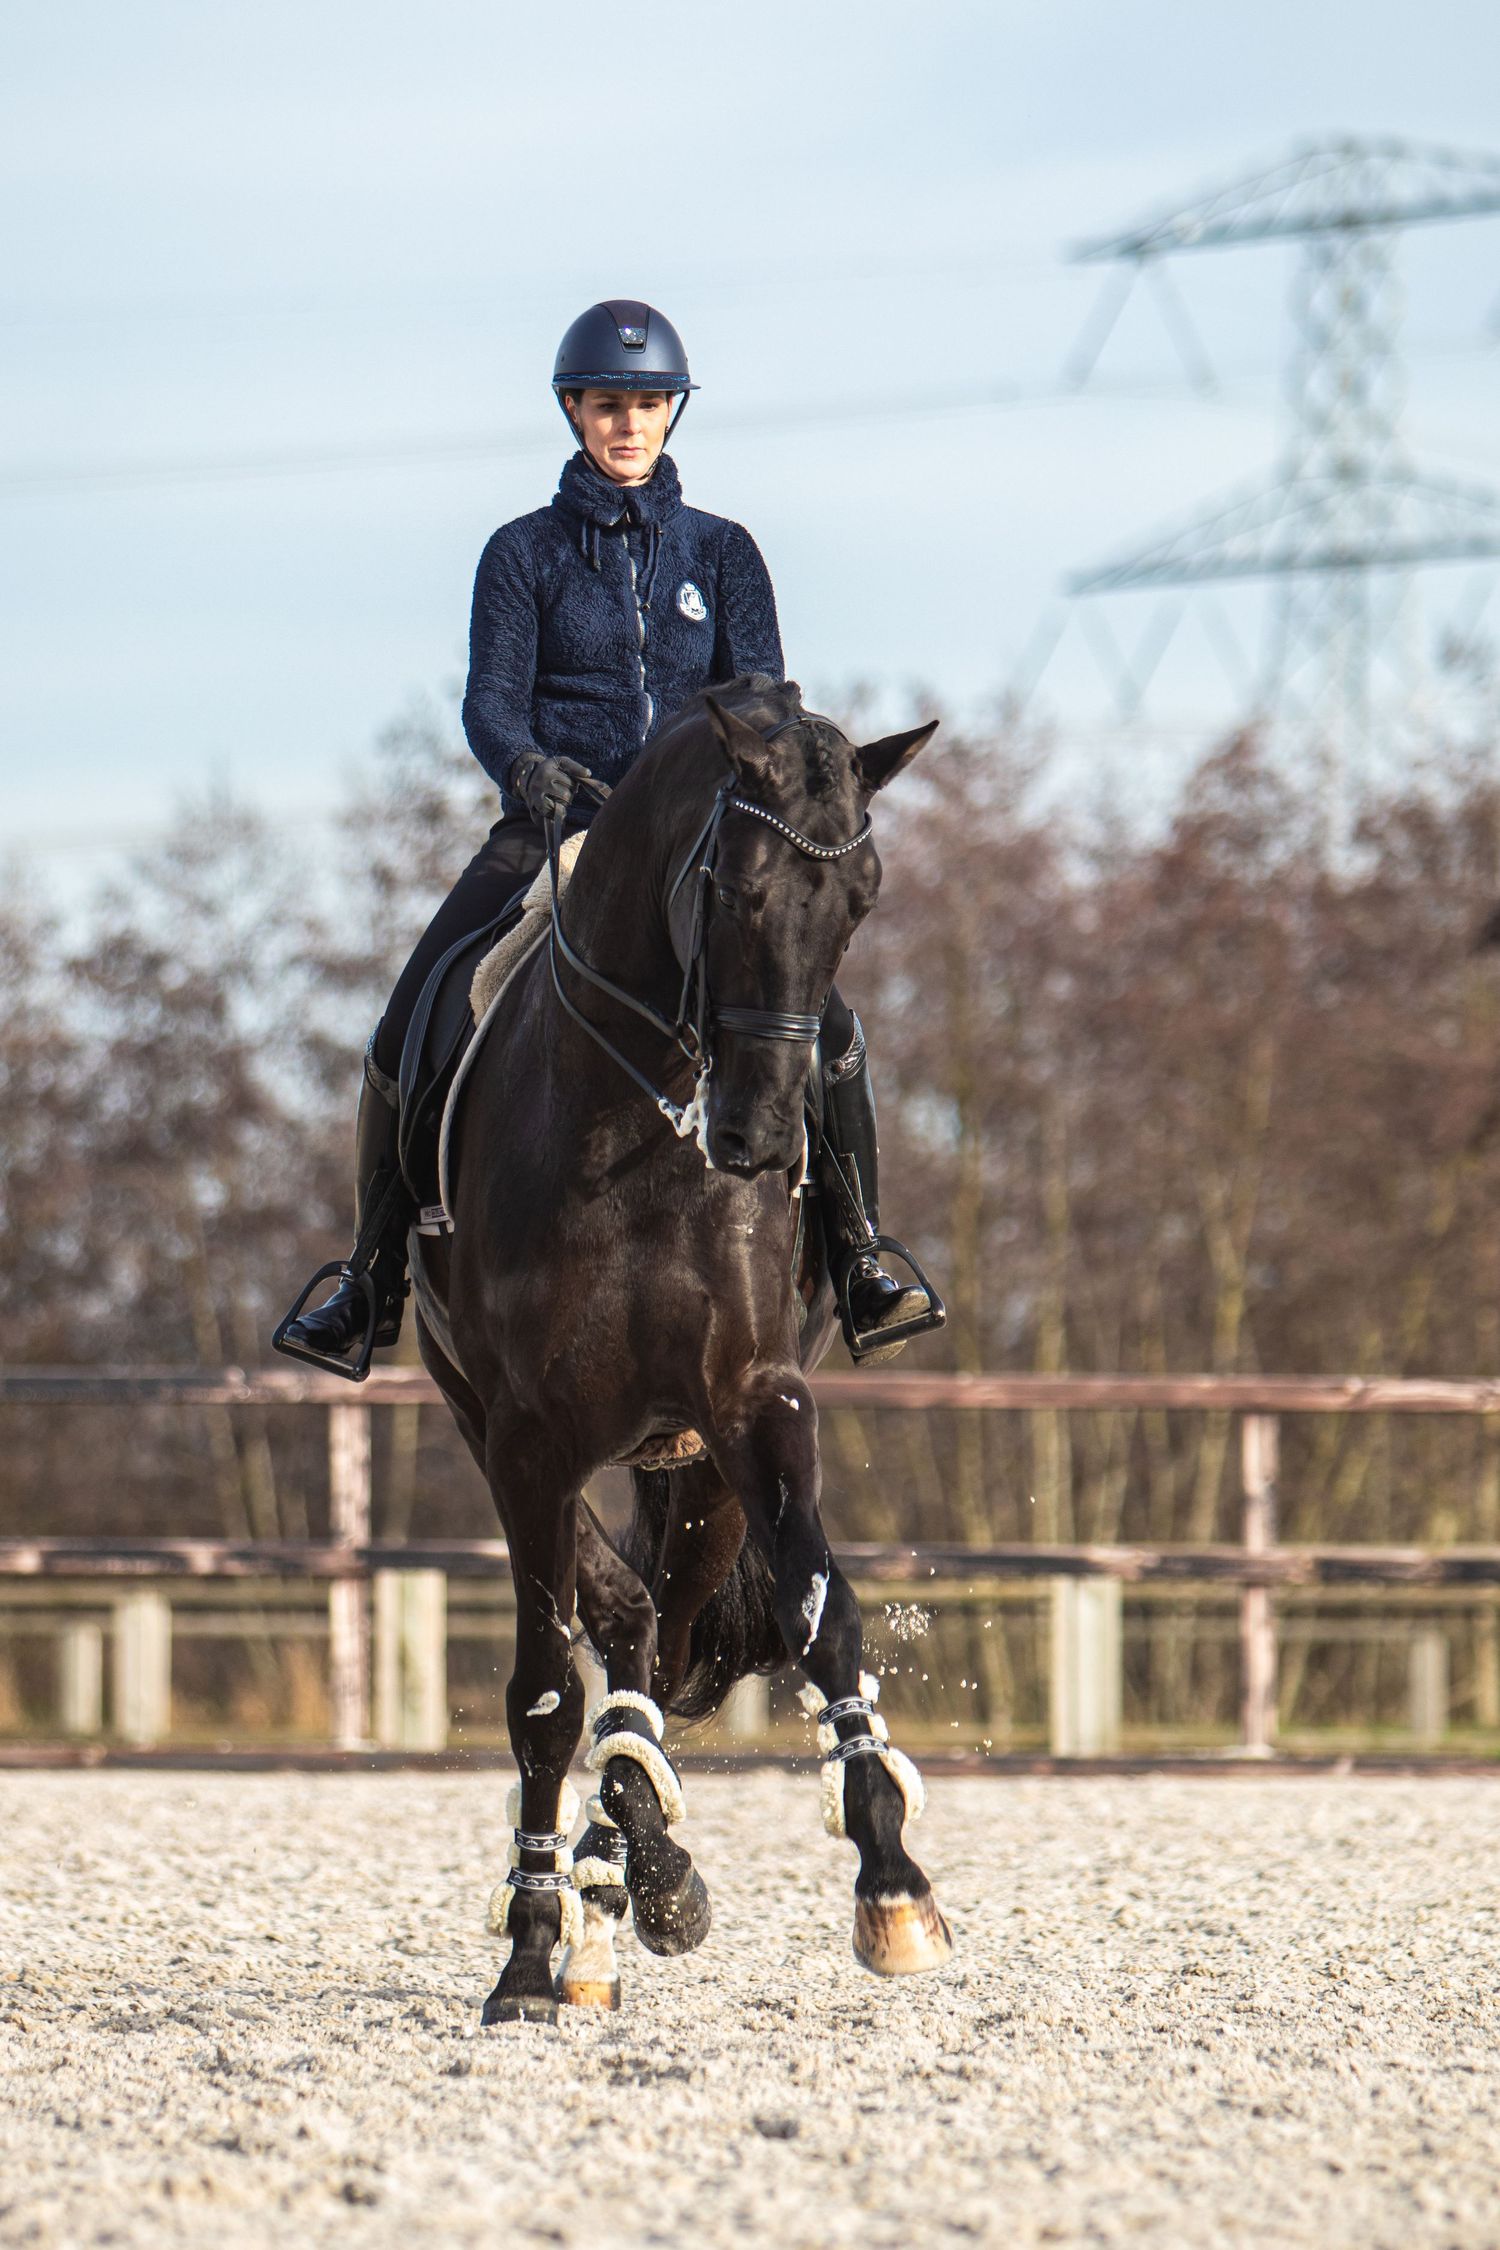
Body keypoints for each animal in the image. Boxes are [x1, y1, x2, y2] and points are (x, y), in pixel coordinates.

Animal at [412, 674, 953, 2023]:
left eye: (861, 898)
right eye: (733, 883)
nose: (760, 1135)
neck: (638, 1123)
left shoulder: (753, 1402)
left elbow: (822, 1617)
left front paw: (893, 1887)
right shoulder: (527, 1441)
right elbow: (545, 1696)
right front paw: (530, 1953)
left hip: (695, 1466)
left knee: (658, 1631)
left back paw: (634, 1874)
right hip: (510, 1433)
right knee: (620, 1626)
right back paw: (607, 1891)